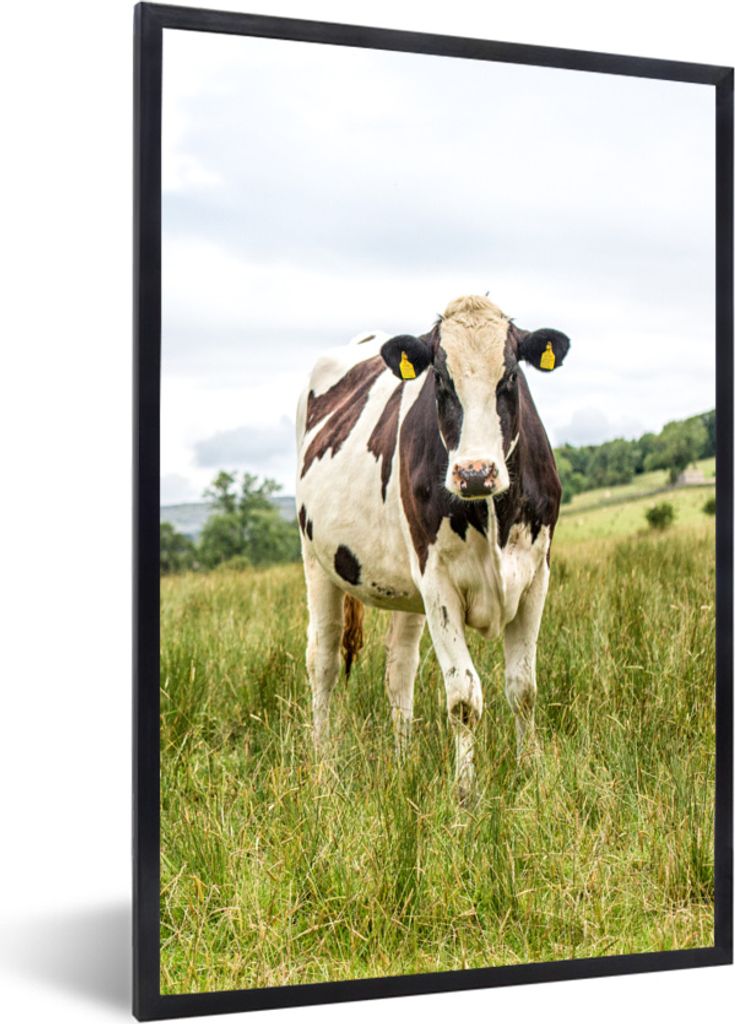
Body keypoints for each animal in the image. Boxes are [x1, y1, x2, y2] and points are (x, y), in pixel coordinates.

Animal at [295, 295, 570, 798]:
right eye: (440, 379)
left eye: (510, 376)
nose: (476, 473)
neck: (491, 513)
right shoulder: (438, 580)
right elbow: (463, 697)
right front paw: (465, 794)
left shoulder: (536, 574)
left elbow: (523, 688)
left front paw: (531, 773)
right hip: (317, 561)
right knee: (321, 660)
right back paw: (323, 764)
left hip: (408, 590)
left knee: (399, 668)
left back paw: (403, 761)